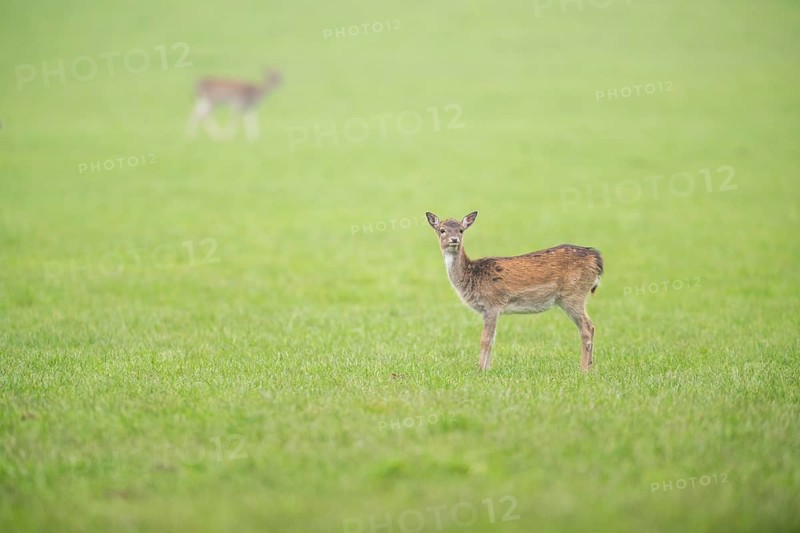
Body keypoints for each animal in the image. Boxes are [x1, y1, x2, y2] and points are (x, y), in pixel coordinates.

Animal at [425, 211, 603, 371]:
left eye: (461, 230)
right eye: (442, 230)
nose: (454, 239)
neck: (472, 276)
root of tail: (597, 259)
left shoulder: (493, 304)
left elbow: (485, 340)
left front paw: (480, 370)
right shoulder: (488, 310)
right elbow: (492, 340)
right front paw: (486, 369)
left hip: (573, 295)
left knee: (587, 328)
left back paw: (583, 369)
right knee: (590, 327)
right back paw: (590, 367)